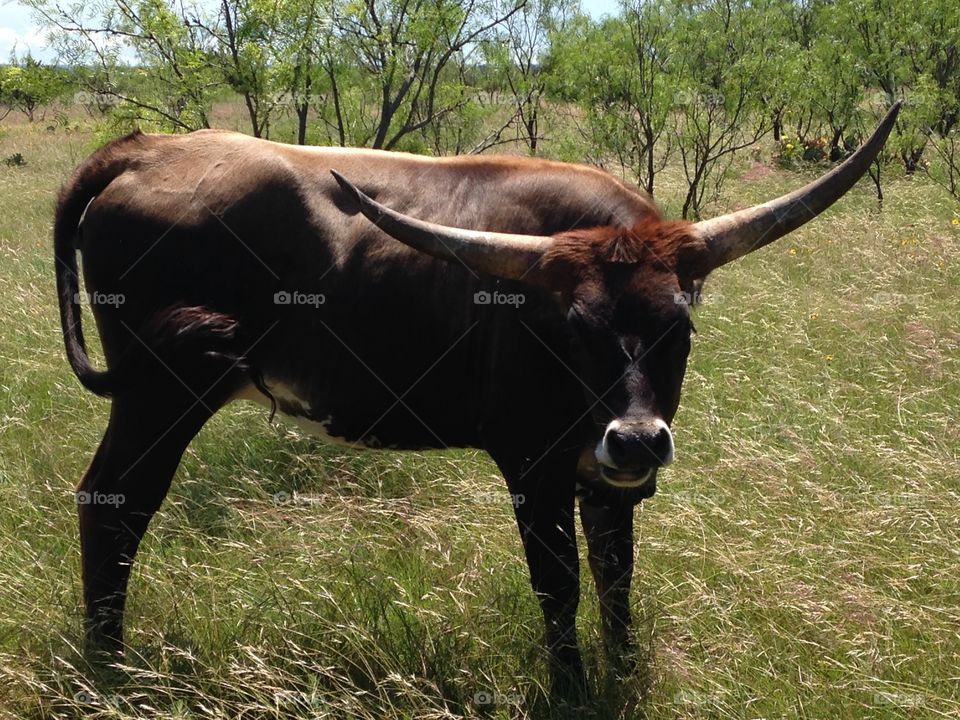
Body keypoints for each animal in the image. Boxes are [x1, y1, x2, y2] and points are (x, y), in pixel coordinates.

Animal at [56, 101, 900, 692]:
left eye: (679, 326)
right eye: (573, 328)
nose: (636, 437)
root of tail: (145, 148)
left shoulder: (606, 480)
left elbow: (616, 577)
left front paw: (623, 672)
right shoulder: (532, 467)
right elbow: (559, 584)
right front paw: (571, 687)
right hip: (160, 396)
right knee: (114, 504)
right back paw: (111, 666)